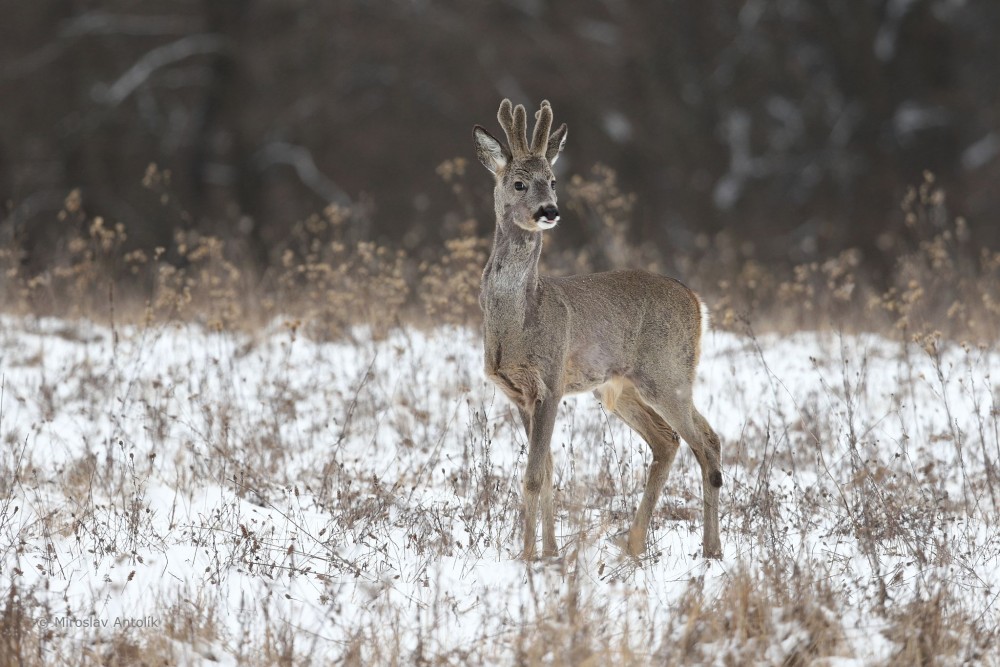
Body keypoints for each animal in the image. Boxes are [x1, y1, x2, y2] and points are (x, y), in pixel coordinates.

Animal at [472, 98, 724, 560]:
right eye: (518, 183)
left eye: (553, 181)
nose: (549, 211)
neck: (518, 321)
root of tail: (697, 302)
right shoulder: (517, 394)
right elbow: (547, 470)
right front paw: (550, 551)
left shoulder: (550, 381)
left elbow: (533, 475)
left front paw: (527, 556)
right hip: (620, 388)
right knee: (668, 441)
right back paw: (635, 542)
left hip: (668, 373)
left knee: (706, 441)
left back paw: (710, 550)